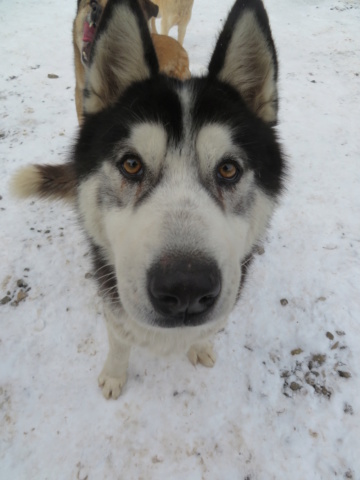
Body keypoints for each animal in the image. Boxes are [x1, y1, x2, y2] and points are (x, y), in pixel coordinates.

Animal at [12, 0, 286, 398]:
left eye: (228, 170)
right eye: (131, 164)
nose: (186, 288)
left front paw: (200, 345)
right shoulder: (113, 296)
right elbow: (119, 340)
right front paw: (114, 375)